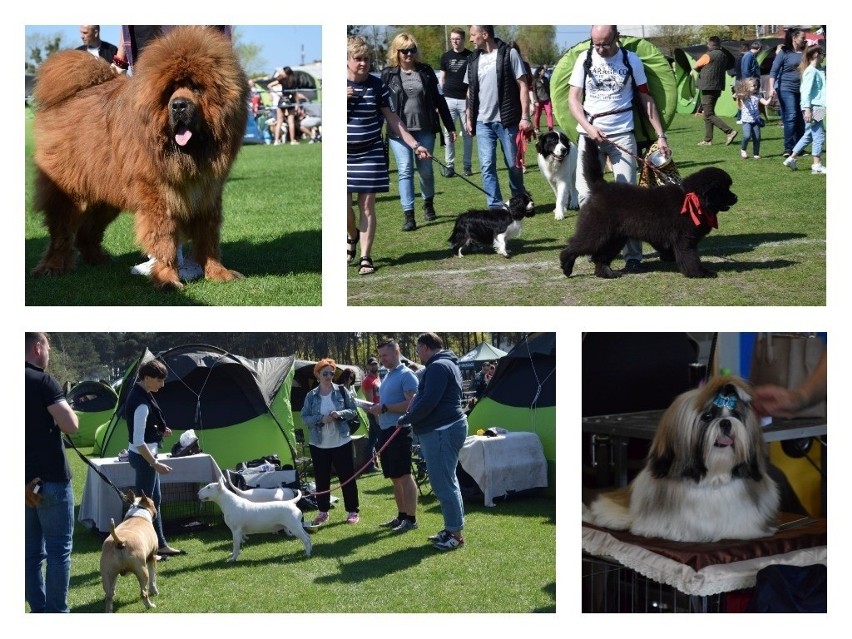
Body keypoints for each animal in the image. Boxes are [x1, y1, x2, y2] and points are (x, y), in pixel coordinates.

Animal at [31, 26, 248, 288]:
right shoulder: (158, 197)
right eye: (169, 90)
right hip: (68, 192)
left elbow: (208, 237)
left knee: (87, 232)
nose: (178, 105)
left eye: (197, 87)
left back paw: (99, 259)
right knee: (61, 232)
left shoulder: (207, 194)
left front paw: (218, 272)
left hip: (107, 194)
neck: (188, 155)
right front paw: (167, 278)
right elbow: (164, 240)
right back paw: (52, 267)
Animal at [560, 138, 740, 278]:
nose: (736, 197)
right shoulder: (685, 240)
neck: (692, 198)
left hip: (614, 237)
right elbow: (691, 258)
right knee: (574, 247)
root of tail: (601, 187)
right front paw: (700, 273)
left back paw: (607, 273)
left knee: (600, 257)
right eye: (723, 189)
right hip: (597, 231)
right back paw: (566, 267)